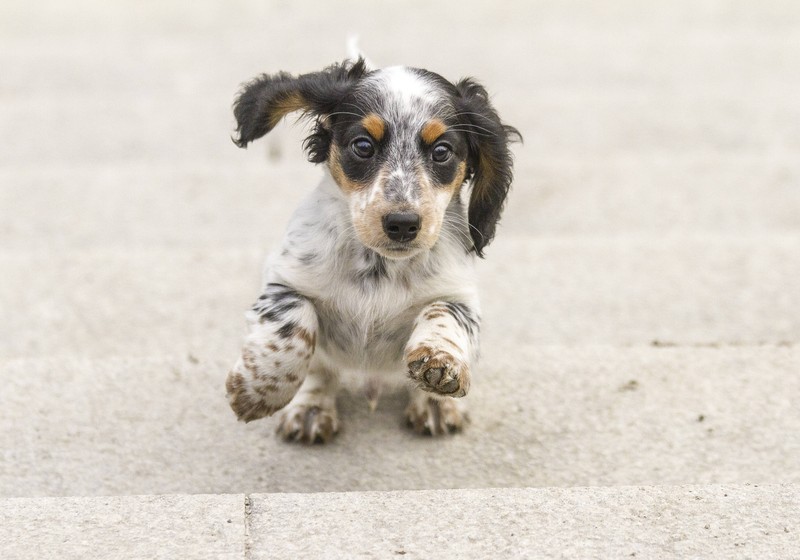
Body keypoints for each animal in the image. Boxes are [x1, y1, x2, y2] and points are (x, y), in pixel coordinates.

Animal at [223, 57, 520, 442]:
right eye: (363, 146)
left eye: (442, 151)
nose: (403, 223)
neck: (379, 265)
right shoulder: (284, 279)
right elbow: (294, 325)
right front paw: (258, 390)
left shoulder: (459, 295)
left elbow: (442, 315)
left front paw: (440, 365)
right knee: (321, 371)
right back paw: (310, 409)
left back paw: (434, 406)